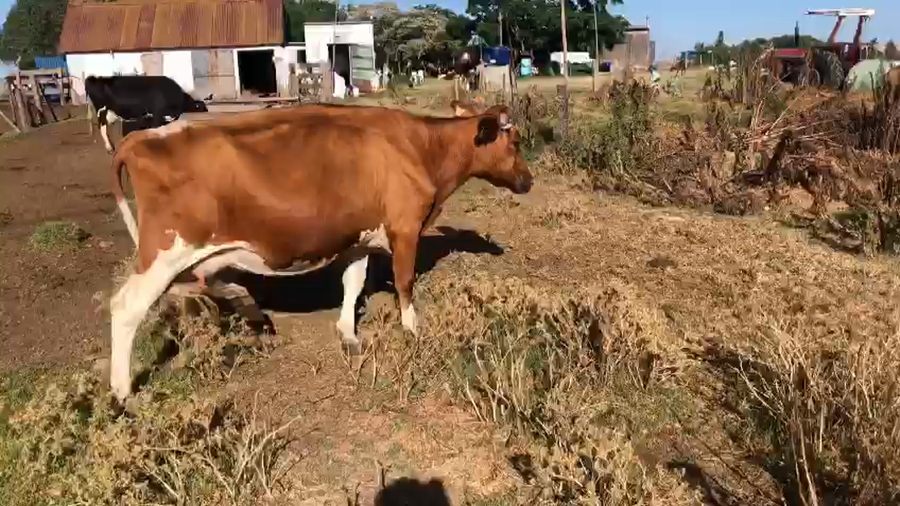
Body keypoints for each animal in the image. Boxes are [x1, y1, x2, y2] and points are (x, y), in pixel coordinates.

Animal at [106, 103, 533, 401]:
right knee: (126, 307)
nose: (529, 180)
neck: (421, 147)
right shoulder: (405, 227)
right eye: (514, 143)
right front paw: (413, 330)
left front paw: (348, 333)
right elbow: (405, 282)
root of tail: (140, 138)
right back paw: (122, 390)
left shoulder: (359, 236)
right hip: (166, 251)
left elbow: (353, 282)